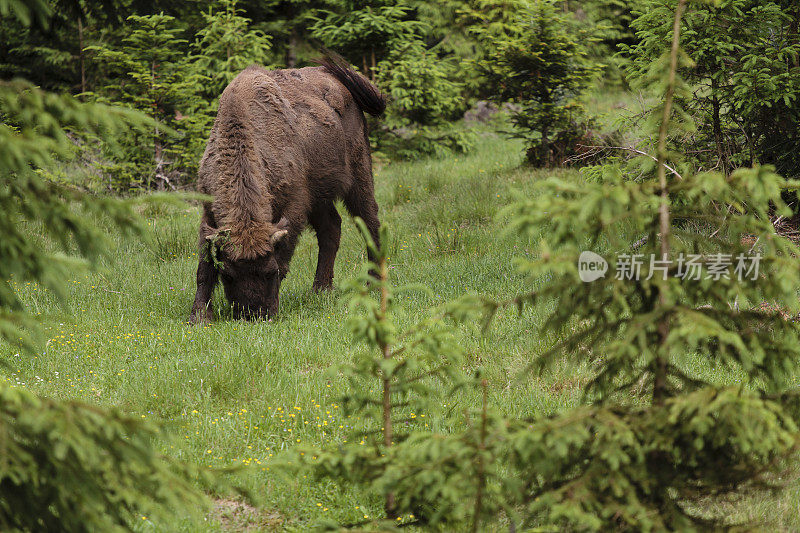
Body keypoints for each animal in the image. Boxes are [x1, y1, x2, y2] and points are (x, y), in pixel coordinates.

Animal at [189, 60, 386, 322]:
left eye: (269, 272)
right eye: (228, 274)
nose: (254, 314)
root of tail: (336, 79)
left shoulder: (294, 207)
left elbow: (285, 256)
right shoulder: (209, 213)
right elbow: (204, 267)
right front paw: (199, 316)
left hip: (359, 175)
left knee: (369, 221)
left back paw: (372, 284)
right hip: (319, 197)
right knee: (331, 228)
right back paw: (320, 289)